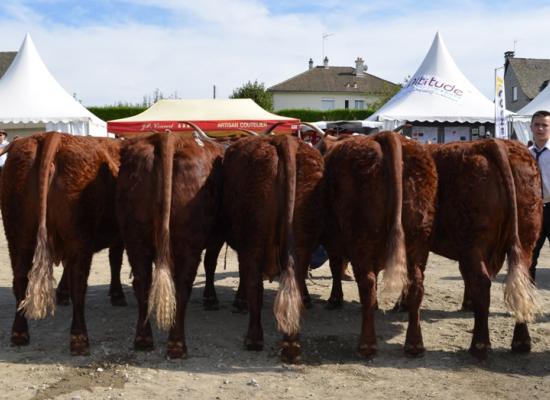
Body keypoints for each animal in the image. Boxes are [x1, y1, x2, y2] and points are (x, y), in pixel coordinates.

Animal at [1, 133, 123, 354]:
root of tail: (51, 136)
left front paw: (61, 294)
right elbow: (115, 261)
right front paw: (117, 295)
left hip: (17, 235)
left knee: (20, 280)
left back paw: (19, 333)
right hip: (79, 236)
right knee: (79, 284)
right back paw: (79, 338)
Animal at [117, 132, 225, 360]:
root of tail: (169, 137)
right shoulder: (216, 239)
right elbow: (211, 264)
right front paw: (211, 299)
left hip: (135, 239)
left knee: (142, 282)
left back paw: (143, 339)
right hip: (189, 243)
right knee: (182, 286)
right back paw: (177, 345)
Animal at [223, 135, 328, 362]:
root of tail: (283, 140)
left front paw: (240, 301)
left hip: (252, 236)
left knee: (255, 285)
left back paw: (254, 339)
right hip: (302, 237)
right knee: (296, 281)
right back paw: (292, 343)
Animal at [324, 131, 440, 356]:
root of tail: (388, 135)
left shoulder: (332, 240)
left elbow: (335, 267)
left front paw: (335, 299)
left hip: (360, 238)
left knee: (367, 283)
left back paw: (367, 345)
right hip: (419, 241)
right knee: (416, 285)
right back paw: (414, 344)